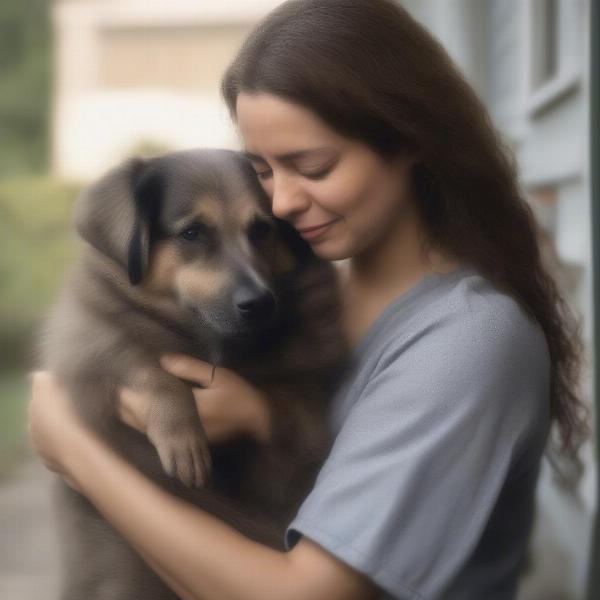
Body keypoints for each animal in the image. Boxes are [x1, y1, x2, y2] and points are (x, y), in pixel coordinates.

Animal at [36, 146, 352, 600]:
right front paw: (182, 438)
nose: (261, 303)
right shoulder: (87, 346)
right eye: (191, 233)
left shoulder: (303, 387)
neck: (211, 344)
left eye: (262, 230)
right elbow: (146, 366)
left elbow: (292, 413)